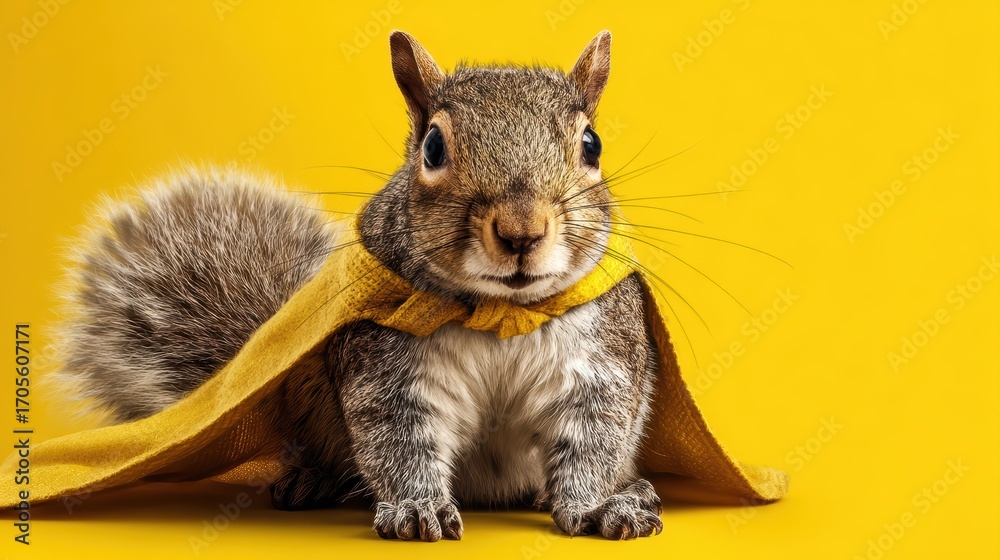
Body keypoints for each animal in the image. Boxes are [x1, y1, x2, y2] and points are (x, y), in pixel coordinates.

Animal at [54, 31, 664, 541]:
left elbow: (594, 438)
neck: (501, 311)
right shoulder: (386, 364)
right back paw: (314, 480)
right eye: (433, 147)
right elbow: (397, 437)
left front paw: (595, 505)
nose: (521, 230)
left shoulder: (602, 359)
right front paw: (417, 507)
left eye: (592, 145)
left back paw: (624, 490)